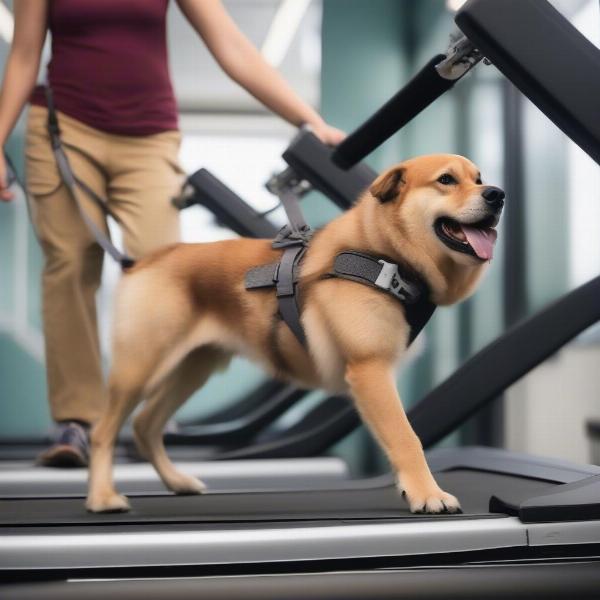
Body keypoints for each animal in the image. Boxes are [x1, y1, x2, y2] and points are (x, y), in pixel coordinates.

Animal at [86, 155, 504, 516]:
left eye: (479, 179)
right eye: (446, 180)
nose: (497, 195)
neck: (382, 252)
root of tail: (144, 262)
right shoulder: (370, 371)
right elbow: (405, 437)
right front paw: (428, 493)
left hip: (193, 368)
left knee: (144, 425)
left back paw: (176, 482)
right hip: (140, 366)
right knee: (104, 430)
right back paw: (102, 497)